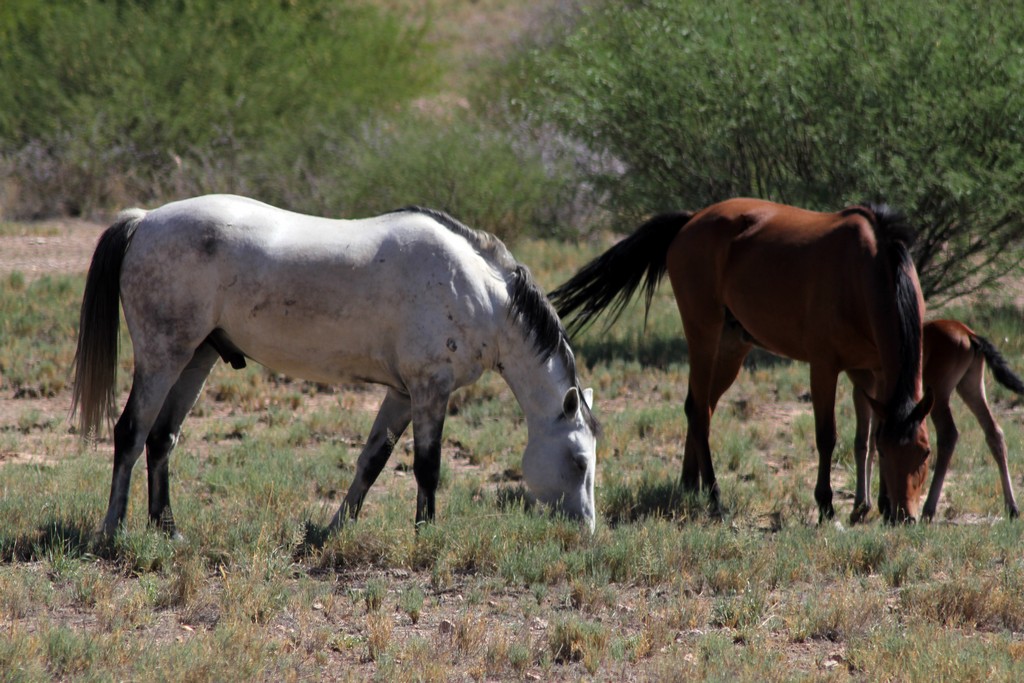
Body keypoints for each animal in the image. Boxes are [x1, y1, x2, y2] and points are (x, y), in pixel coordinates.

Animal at [70, 193, 598, 540]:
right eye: (579, 461)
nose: (588, 530)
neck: (478, 292)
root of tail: (145, 220)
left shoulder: (402, 394)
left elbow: (372, 461)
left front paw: (336, 527)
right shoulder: (431, 390)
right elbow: (427, 467)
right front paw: (426, 536)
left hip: (196, 359)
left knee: (161, 439)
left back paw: (169, 530)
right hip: (162, 358)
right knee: (131, 432)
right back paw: (112, 531)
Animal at [552, 197, 937, 524]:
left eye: (925, 453)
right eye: (890, 455)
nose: (905, 516)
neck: (864, 271)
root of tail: (691, 220)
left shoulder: (875, 371)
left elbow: (868, 435)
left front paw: (876, 505)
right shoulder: (824, 367)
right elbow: (828, 436)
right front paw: (827, 507)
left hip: (731, 349)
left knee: (701, 407)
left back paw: (689, 485)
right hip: (703, 335)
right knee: (699, 413)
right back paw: (715, 498)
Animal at [847, 317, 1024, 520]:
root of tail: (969, 334)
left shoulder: (864, 388)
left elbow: (864, 442)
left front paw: (863, 507)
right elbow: (876, 440)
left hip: (939, 394)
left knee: (949, 435)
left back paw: (928, 509)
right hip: (970, 386)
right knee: (994, 432)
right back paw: (1012, 507)